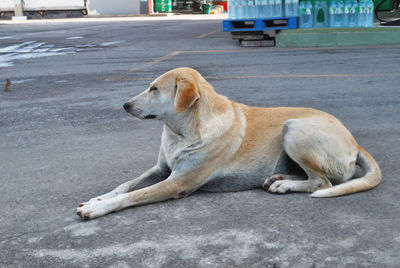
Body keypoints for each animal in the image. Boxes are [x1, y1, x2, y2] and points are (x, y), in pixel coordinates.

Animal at [76, 67, 382, 220]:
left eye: (154, 89)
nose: (125, 105)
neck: (182, 132)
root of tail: (355, 142)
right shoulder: (161, 170)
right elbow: (125, 185)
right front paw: (99, 198)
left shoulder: (176, 182)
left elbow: (134, 194)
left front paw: (96, 208)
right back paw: (279, 178)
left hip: (294, 128)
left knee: (323, 182)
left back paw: (284, 185)